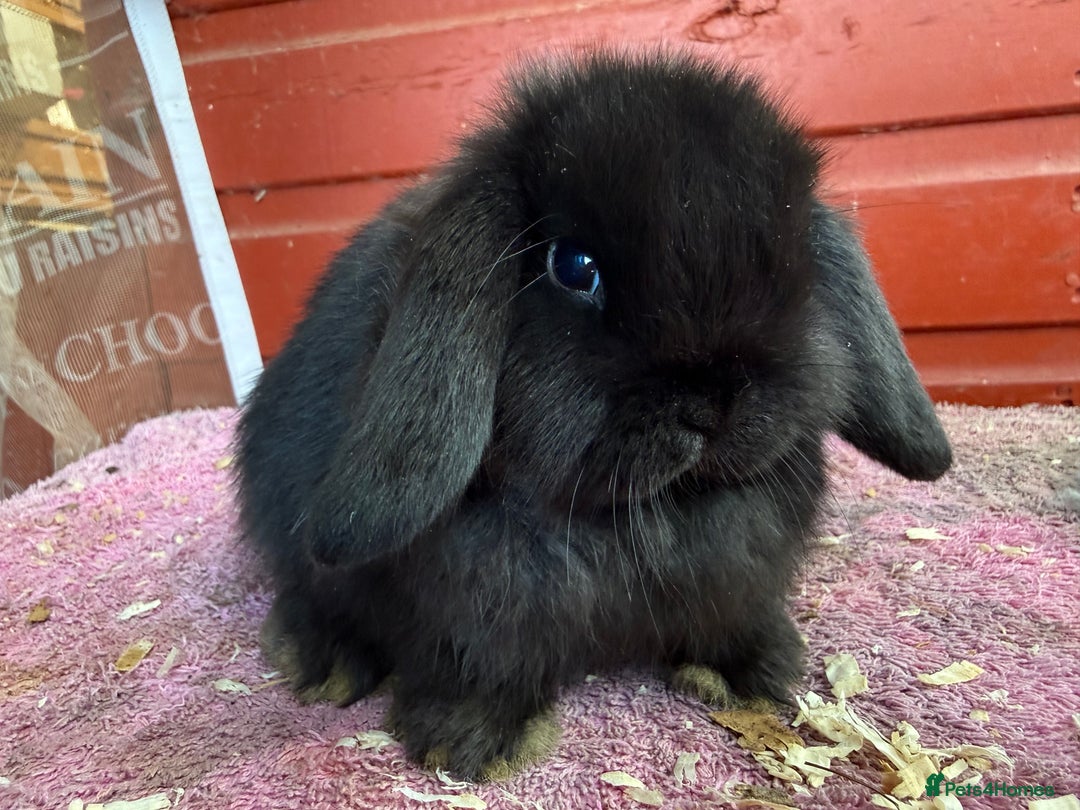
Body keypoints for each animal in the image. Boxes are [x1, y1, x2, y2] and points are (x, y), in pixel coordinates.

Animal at [235, 50, 952, 781]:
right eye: (574, 267)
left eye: (791, 255)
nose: (713, 401)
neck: (649, 515)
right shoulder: (474, 612)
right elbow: (477, 665)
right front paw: (468, 741)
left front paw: (757, 671)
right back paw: (324, 665)